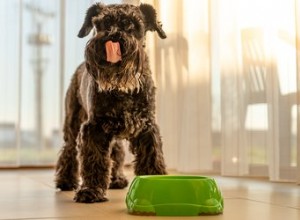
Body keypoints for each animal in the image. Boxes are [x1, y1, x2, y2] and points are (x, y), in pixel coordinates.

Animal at [55, 3, 168, 203]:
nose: (113, 36)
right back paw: (66, 181)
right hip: (73, 123)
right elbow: (94, 160)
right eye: (102, 23)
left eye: (132, 24)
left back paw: (116, 179)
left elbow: (152, 156)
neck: (121, 87)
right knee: (69, 150)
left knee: (116, 151)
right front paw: (91, 190)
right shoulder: (94, 127)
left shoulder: (147, 127)